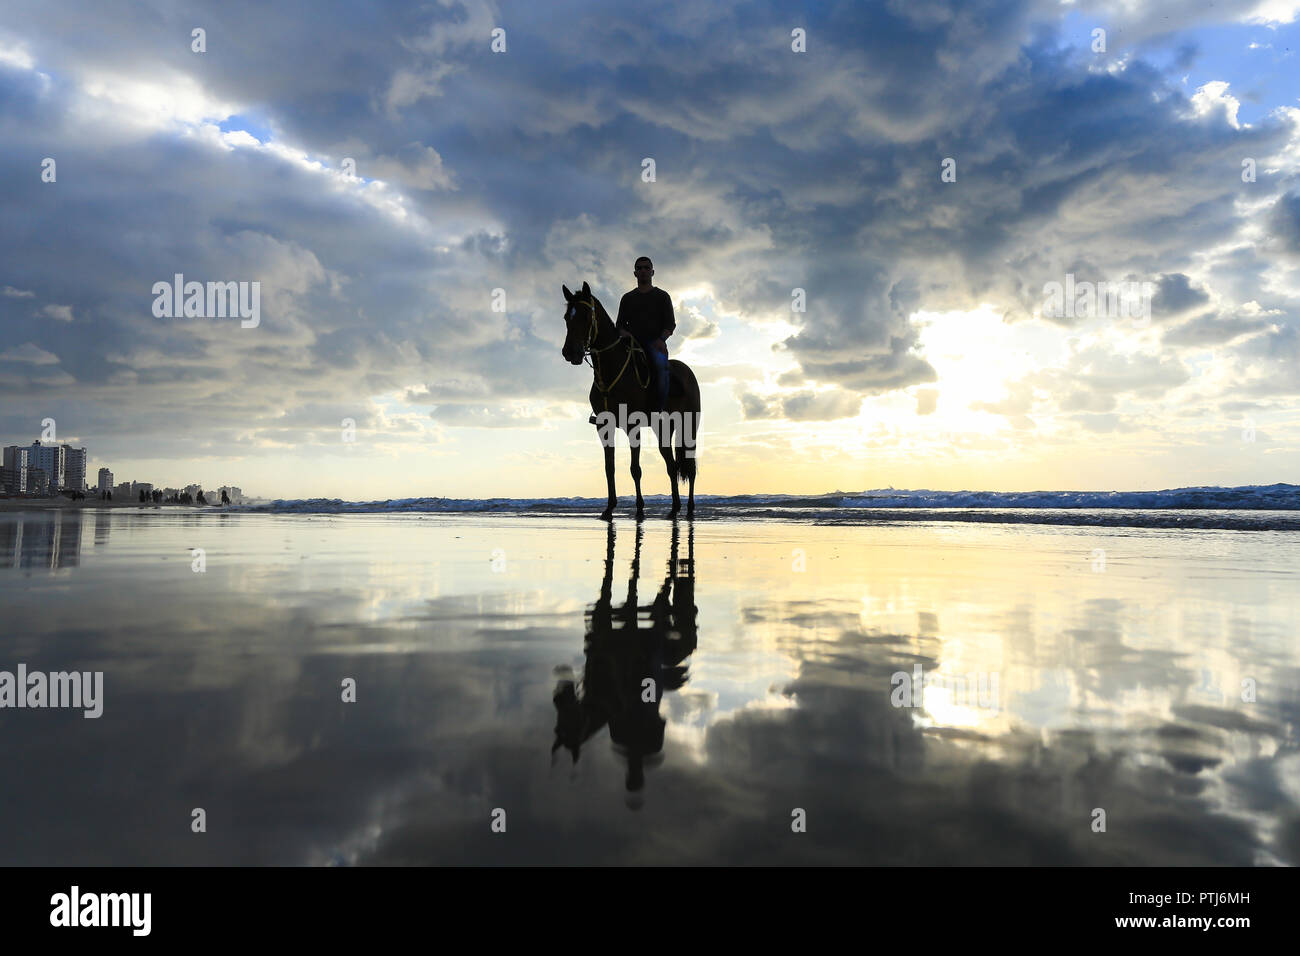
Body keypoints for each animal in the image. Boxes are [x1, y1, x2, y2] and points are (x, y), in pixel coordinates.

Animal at [561, 280, 702, 520]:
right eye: (566, 317)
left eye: (585, 316)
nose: (570, 352)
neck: (611, 369)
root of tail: (687, 372)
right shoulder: (604, 426)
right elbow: (609, 468)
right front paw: (609, 508)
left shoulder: (632, 425)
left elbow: (635, 469)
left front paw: (639, 508)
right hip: (662, 427)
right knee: (672, 464)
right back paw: (674, 508)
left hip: (688, 426)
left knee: (689, 467)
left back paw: (690, 508)